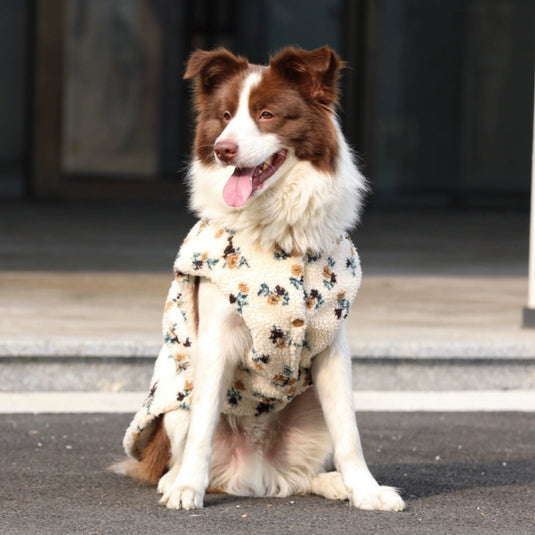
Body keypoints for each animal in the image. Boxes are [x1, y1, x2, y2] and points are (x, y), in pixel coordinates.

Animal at [115, 45, 404, 510]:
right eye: (225, 115)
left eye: (267, 114)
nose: (223, 150)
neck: (278, 236)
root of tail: (253, 472)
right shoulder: (214, 340)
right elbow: (202, 426)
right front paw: (187, 489)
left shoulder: (332, 346)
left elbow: (349, 431)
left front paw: (366, 489)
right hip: (174, 400)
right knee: (183, 444)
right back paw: (176, 479)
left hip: (308, 409)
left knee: (302, 476)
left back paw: (334, 483)